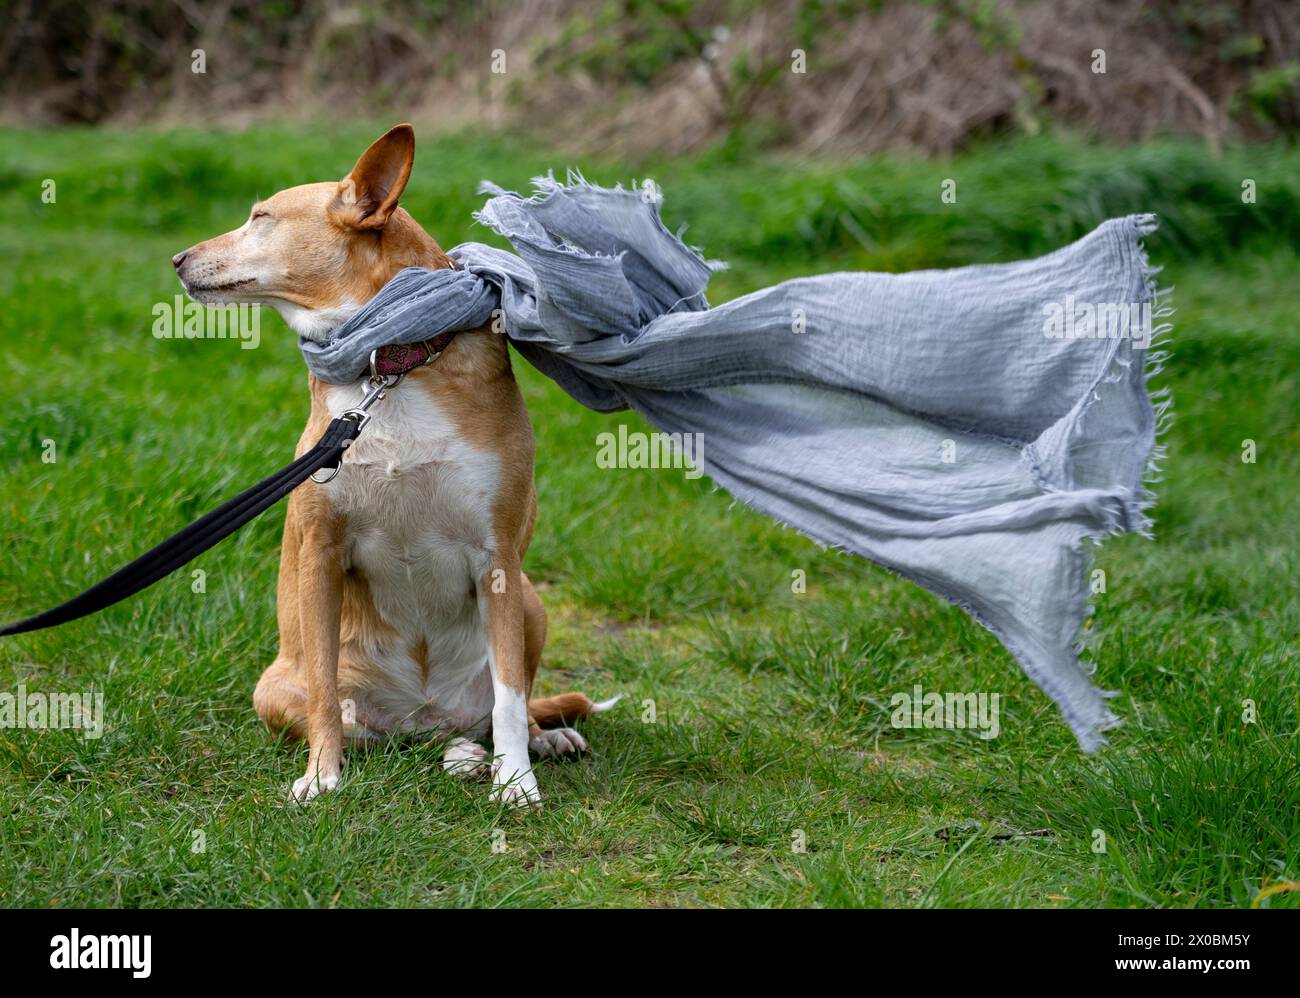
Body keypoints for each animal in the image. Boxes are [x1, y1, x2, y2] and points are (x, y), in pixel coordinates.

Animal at [170, 126, 611, 810]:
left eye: (261, 218)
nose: (178, 260)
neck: (389, 364)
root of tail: (423, 716)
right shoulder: (321, 554)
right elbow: (326, 695)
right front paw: (321, 777)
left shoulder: (498, 560)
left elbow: (510, 698)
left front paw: (515, 783)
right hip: (274, 691)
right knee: (375, 730)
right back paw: (444, 752)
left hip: (532, 602)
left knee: (499, 710)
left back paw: (528, 742)